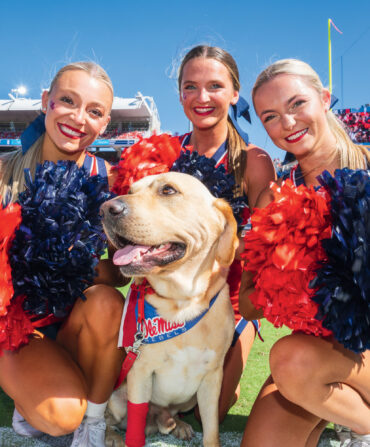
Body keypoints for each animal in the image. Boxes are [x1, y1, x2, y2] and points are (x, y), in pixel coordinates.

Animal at [100, 172, 237, 447]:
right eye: (130, 190)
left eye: (168, 190)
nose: (106, 209)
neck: (181, 304)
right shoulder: (140, 373)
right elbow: (134, 429)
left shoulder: (212, 380)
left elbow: (212, 431)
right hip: (118, 397)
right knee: (109, 420)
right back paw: (112, 435)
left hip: (189, 399)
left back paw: (178, 425)